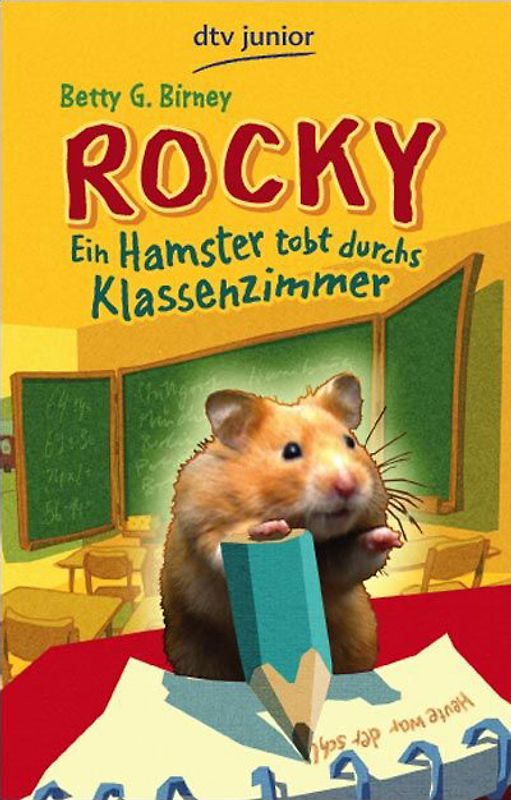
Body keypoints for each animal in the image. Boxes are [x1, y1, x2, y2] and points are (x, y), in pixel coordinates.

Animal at [160, 373, 401, 681]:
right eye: (291, 451)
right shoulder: (201, 520)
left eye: (350, 442)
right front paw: (270, 529)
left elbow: (355, 559)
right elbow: (220, 548)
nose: (348, 485)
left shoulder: (335, 566)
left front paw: (388, 537)